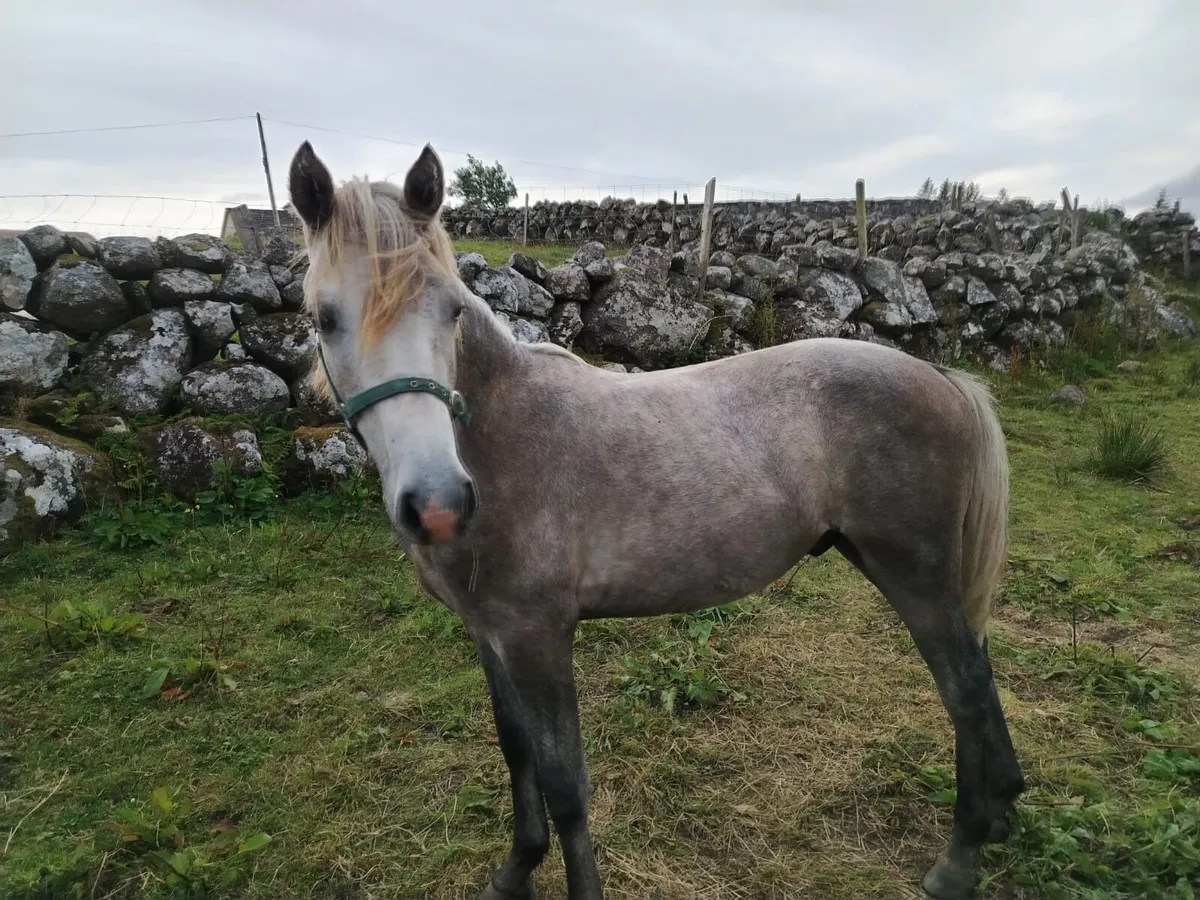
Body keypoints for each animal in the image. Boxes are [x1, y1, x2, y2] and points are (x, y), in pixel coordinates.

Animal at [286, 138, 1026, 900]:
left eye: (453, 312)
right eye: (323, 318)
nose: (438, 504)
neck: (499, 436)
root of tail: (940, 377)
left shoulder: (537, 637)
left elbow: (564, 782)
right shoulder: (487, 632)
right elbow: (516, 751)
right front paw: (515, 870)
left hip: (914, 572)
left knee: (966, 692)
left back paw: (960, 857)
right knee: (978, 675)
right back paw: (1001, 808)